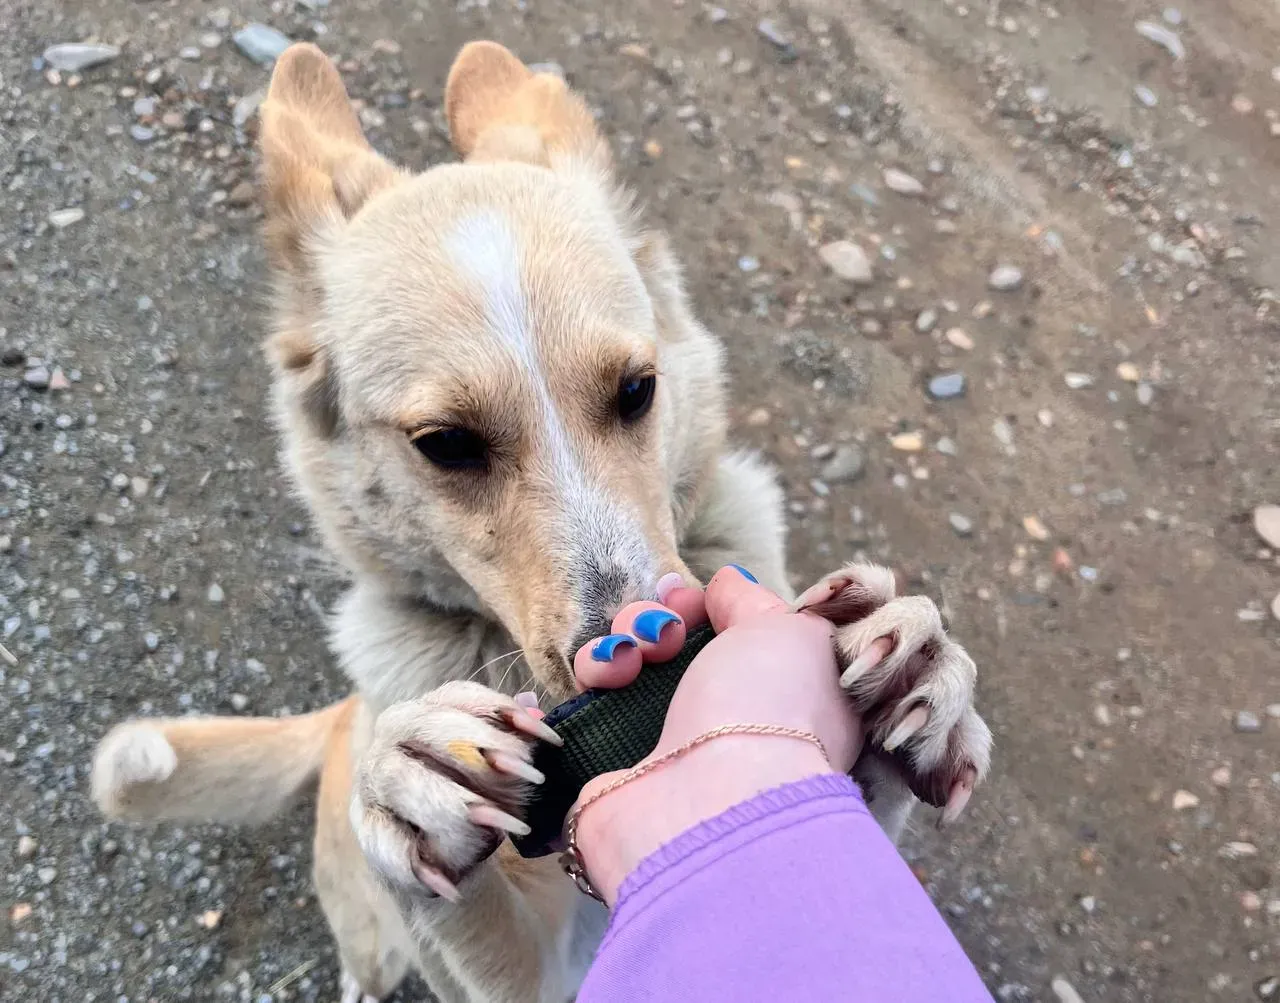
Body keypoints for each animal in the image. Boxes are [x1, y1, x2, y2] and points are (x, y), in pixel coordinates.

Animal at [90, 45, 993, 1002]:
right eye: (446, 443)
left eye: (636, 388)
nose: (652, 640)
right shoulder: (543, 976)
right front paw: (409, 784)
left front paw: (913, 674)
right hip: (373, 937)